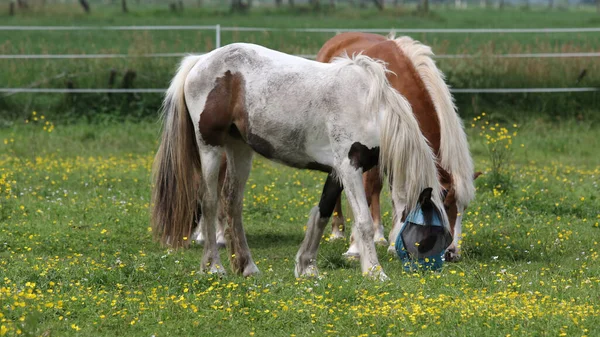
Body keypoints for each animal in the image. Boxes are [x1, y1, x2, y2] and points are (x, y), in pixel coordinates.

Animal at [152, 41, 448, 278]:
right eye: (432, 234)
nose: (434, 270)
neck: (370, 109)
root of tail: (200, 61)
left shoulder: (337, 172)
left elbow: (322, 212)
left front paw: (307, 267)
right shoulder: (351, 167)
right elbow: (363, 221)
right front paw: (375, 271)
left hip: (240, 149)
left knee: (232, 203)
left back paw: (248, 267)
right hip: (210, 147)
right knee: (210, 202)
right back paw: (214, 266)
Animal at [316, 32, 476, 262]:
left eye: (464, 207)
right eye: (445, 204)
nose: (452, 253)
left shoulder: (401, 152)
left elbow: (399, 195)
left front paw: (394, 243)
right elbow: (366, 193)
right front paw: (355, 248)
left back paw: (379, 235)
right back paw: (338, 231)